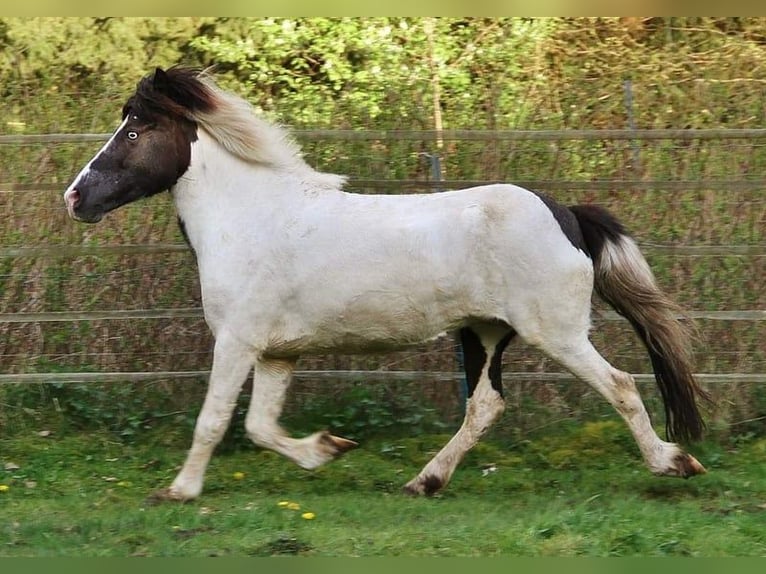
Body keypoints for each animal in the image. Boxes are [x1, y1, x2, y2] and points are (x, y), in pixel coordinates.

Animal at [63, 67, 710, 502]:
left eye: (133, 131)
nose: (74, 198)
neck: (252, 218)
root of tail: (565, 214)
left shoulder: (237, 341)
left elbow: (216, 419)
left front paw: (179, 490)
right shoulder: (276, 353)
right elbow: (259, 427)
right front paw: (327, 449)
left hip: (556, 332)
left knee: (620, 385)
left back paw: (673, 463)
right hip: (484, 333)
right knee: (485, 406)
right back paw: (425, 480)